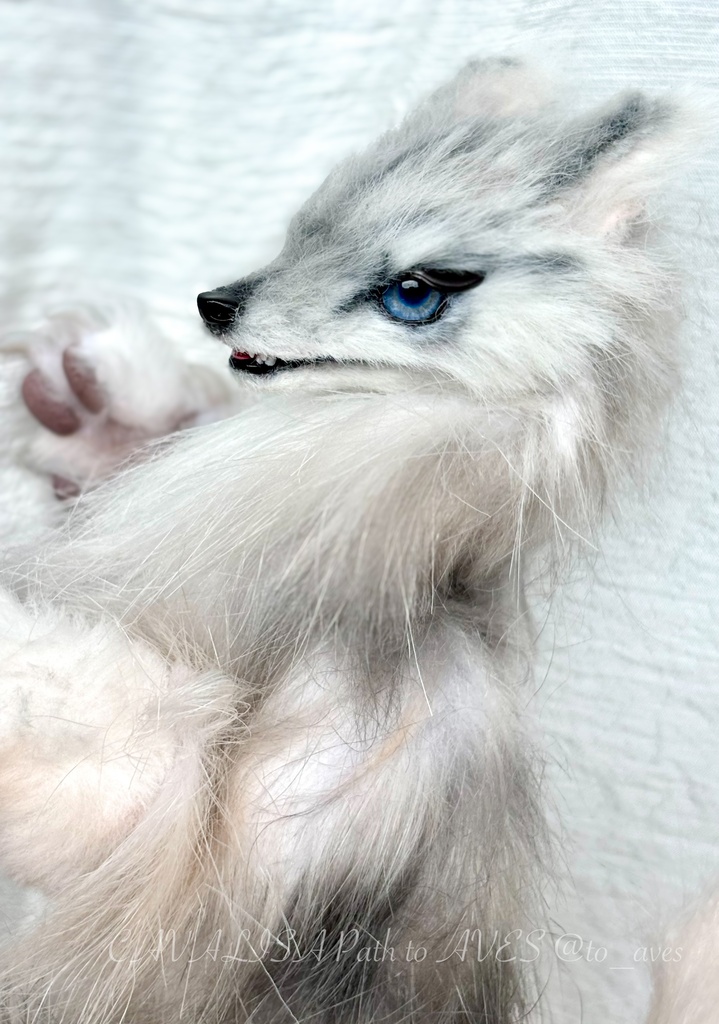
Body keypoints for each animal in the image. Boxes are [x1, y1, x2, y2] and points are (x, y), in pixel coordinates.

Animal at [0, 58, 692, 1023]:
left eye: (415, 291)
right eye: (301, 234)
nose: (214, 303)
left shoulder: (183, 795)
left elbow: (54, 680)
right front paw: (97, 414)